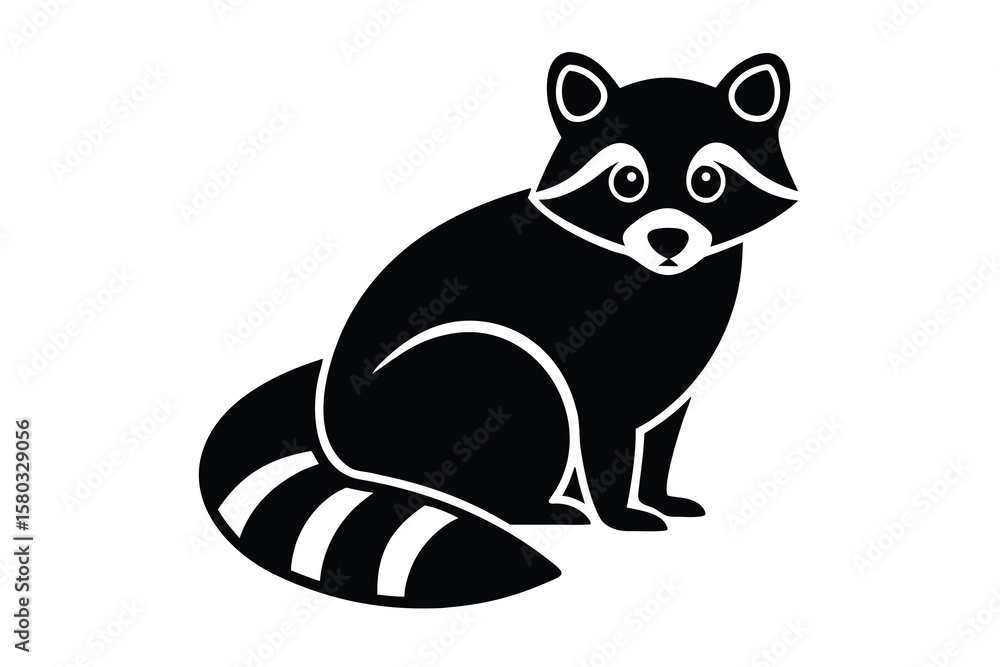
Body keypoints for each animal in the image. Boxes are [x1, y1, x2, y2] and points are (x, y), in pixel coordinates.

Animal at [200, 52, 798, 608]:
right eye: (628, 181)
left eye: (708, 181)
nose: (669, 240)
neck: (669, 279)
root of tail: (328, 413)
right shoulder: (589, 341)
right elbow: (602, 430)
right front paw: (617, 510)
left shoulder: (674, 362)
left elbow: (663, 432)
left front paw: (654, 493)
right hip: (466, 376)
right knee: (521, 389)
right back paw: (535, 508)